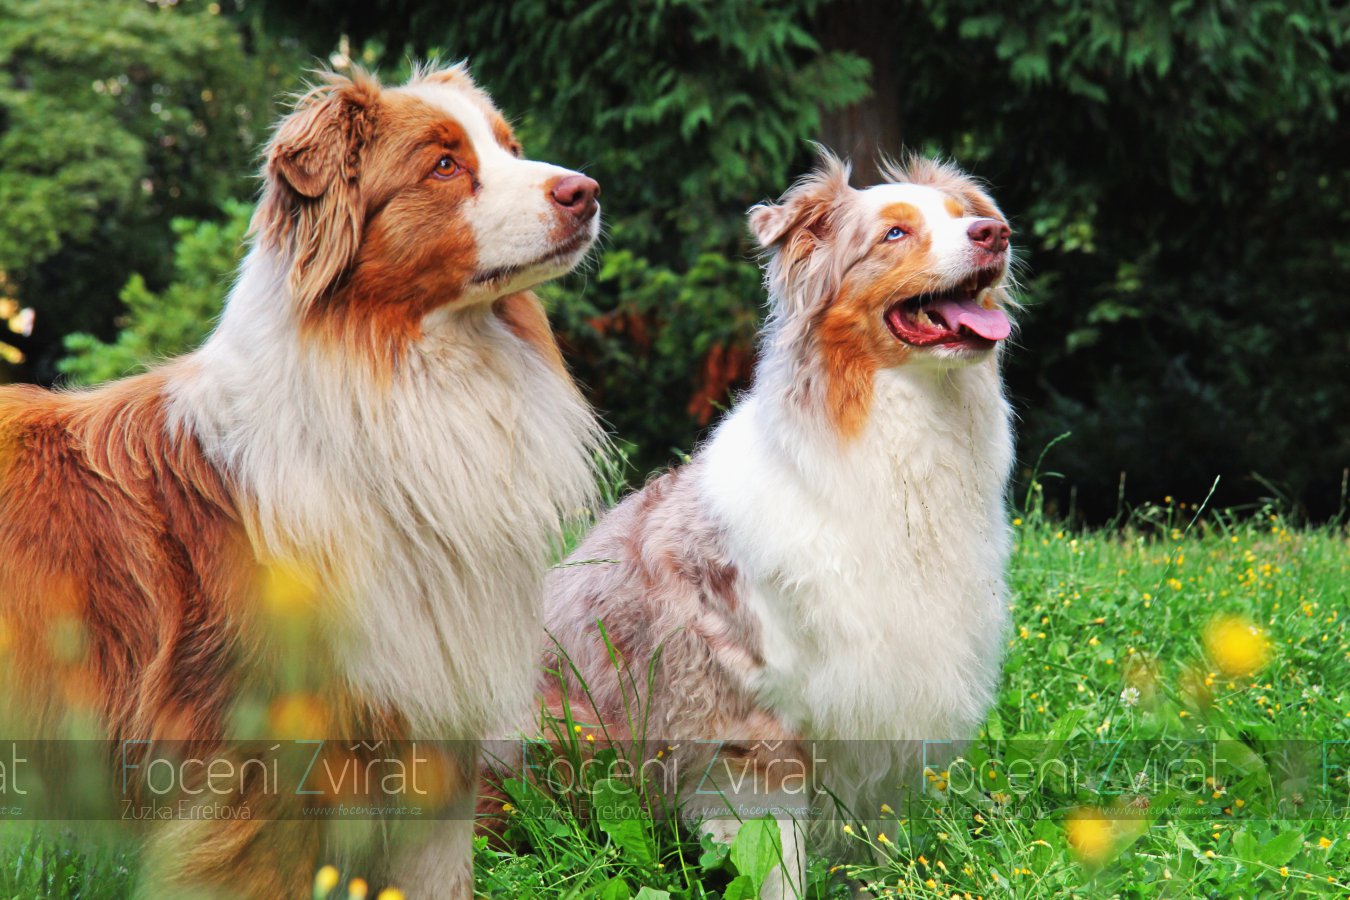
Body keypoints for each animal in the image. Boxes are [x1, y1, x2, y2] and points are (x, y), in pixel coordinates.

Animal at [533, 153, 1015, 897]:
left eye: (966, 217)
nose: (996, 233)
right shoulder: (743, 721)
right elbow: (770, 854)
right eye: (894, 233)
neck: (897, 430)